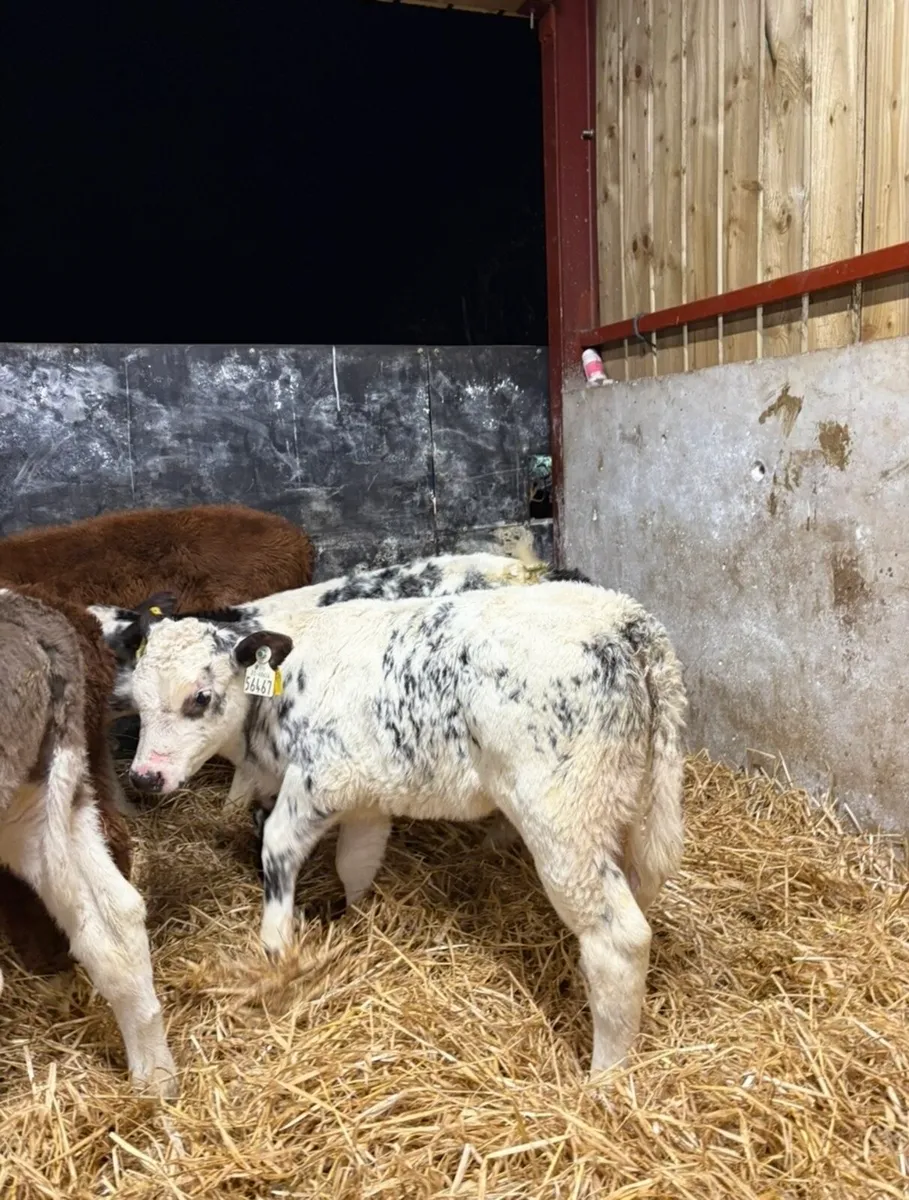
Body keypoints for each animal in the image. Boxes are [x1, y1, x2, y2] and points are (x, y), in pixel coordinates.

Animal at [125, 582, 686, 1074]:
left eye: (199, 698)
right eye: (137, 701)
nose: (143, 777)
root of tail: (625, 619)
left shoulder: (323, 778)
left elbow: (278, 849)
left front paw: (277, 953)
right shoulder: (367, 794)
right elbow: (356, 861)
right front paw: (357, 924)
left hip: (565, 816)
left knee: (620, 939)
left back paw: (604, 1078)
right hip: (631, 804)